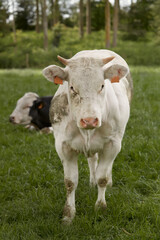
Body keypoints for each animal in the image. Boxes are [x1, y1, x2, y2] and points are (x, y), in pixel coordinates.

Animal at [42, 49, 132, 224]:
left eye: (102, 85)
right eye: (72, 87)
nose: (89, 120)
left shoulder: (113, 144)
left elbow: (102, 178)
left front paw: (100, 207)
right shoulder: (63, 146)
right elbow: (70, 182)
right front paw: (68, 215)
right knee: (92, 160)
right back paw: (92, 181)